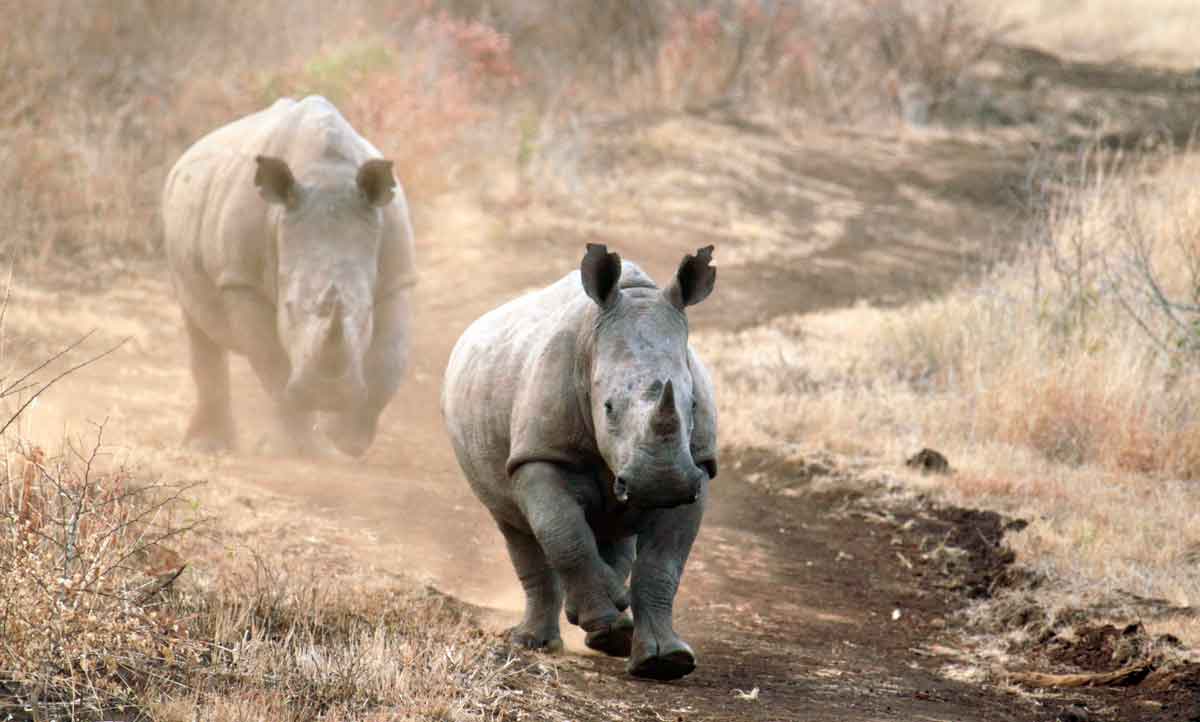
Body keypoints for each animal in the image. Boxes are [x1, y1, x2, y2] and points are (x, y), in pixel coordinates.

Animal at [162, 95, 417, 455]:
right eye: (288, 308)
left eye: (367, 313)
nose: (328, 395)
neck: (327, 173)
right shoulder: (242, 281)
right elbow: (273, 363)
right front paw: (304, 448)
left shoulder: (398, 276)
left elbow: (389, 360)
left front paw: (347, 439)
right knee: (199, 326)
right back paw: (208, 446)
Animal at [446, 244, 715, 676]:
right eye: (607, 407)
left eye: (691, 405)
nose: (660, 482)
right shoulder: (540, 454)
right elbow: (565, 535)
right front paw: (605, 620)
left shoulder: (700, 466)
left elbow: (663, 565)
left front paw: (666, 661)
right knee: (516, 527)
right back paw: (539, 641)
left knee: (614, 534)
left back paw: (612, 633)